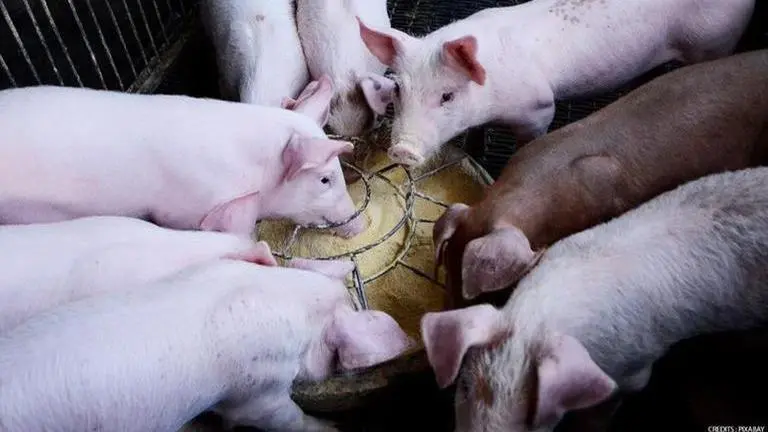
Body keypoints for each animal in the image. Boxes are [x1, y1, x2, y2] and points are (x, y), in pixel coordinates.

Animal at [357, 0, 756, 166]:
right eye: (399, 89)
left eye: (447, 96)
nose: (402, 150)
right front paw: (474, 147)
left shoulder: (539, 108)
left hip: (715, 40)